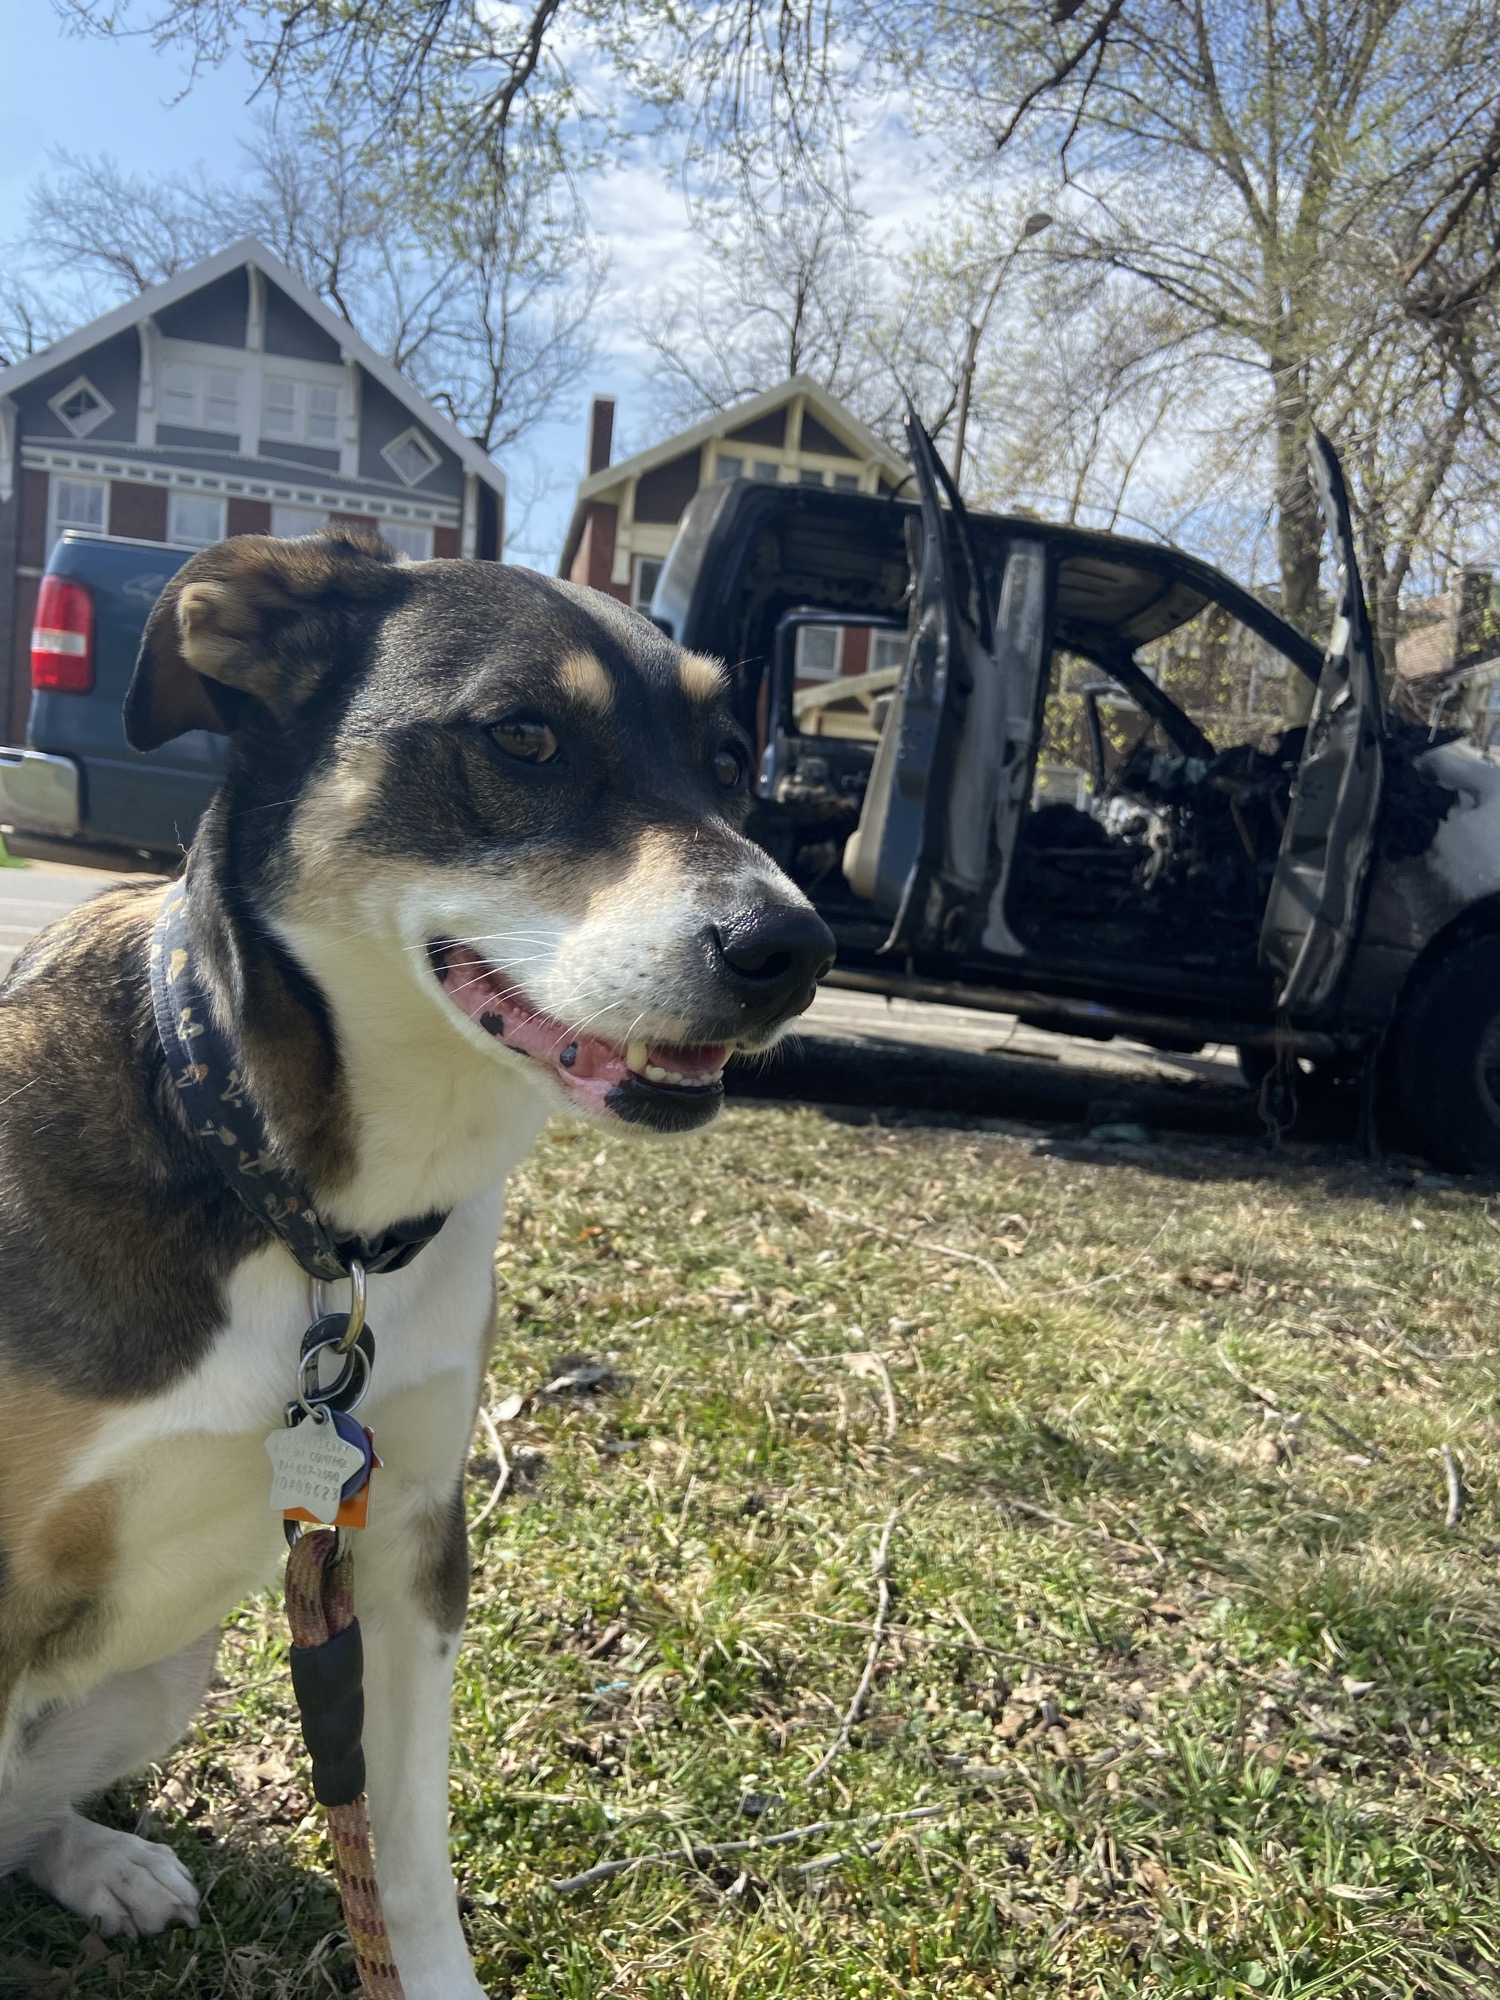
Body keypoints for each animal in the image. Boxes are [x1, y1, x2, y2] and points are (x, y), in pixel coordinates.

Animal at [0, 529, 833, 1996]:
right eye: (524, 734)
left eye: (732, 757)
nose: (791, 949)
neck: (300, 1200)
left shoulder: (405, 1543)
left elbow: (406, 1855)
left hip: (163, 1672)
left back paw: (96, 1859)